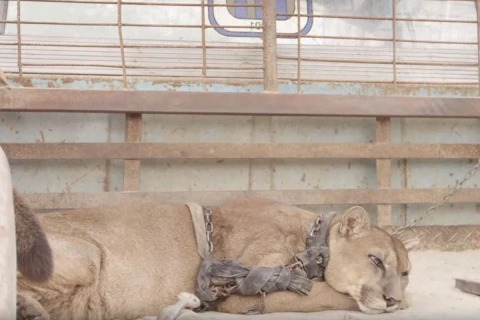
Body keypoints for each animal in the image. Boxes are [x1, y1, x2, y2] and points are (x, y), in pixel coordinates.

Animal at [16, 196, 410, 318]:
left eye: (405, 272)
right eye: (376, 260)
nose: (392, 297)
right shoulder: (243, 291)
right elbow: (324, 293)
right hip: (88, 253)